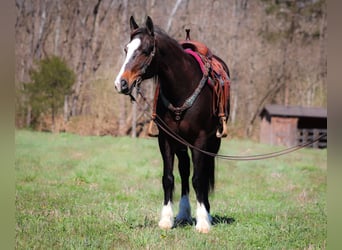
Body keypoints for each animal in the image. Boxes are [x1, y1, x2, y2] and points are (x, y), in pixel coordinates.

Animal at [114, 16, 230, 233]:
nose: (121, 83)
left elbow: (199, 179)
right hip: (181, 143)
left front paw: (203, 222)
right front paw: (166, 219)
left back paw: (206, 213)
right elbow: (168, 178)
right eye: (126, 49)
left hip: (213, 143)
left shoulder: (201, 140)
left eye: (145, 50)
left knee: (202, 173)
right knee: (184, 170)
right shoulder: (166, 139)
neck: (182, 87)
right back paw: (184, 213)